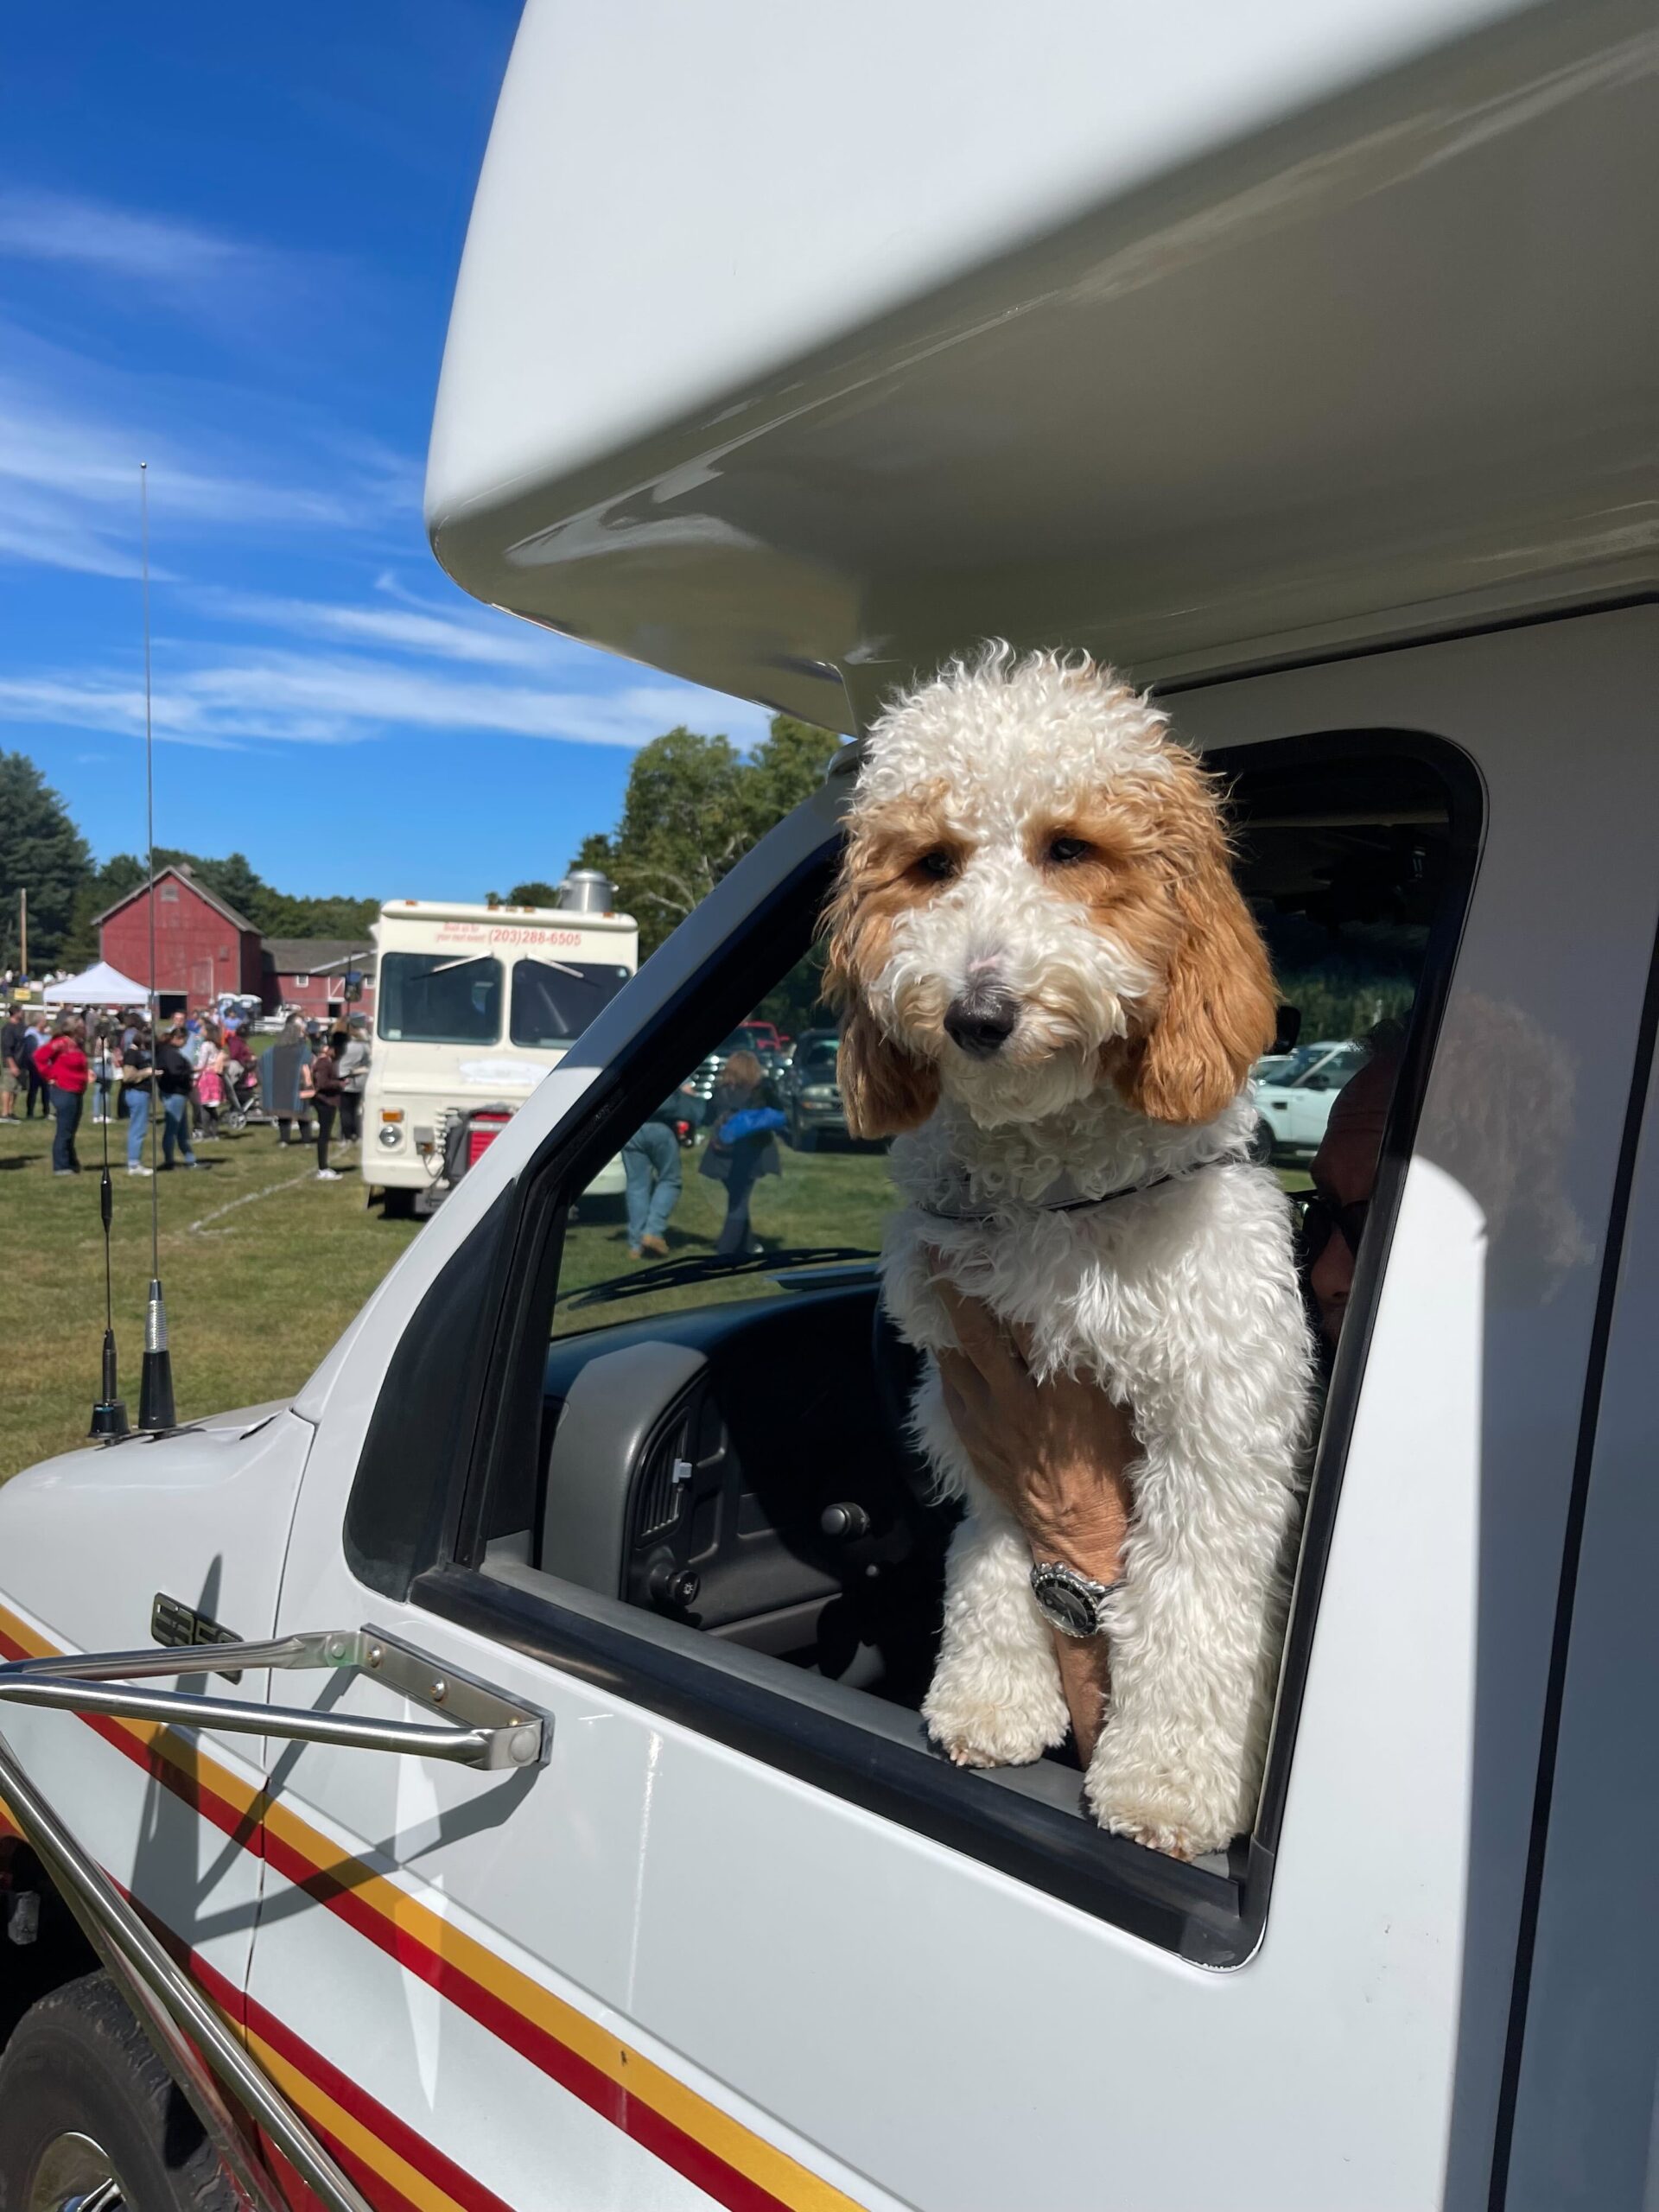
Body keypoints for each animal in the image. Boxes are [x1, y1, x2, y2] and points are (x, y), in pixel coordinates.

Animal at [827, 645, 1318, 1858]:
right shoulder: (966, 1399)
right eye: (934, 863)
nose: (978, 1010)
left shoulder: (1218, 1425)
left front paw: (1169, 1781)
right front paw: (992, 1693)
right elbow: (994, 1552)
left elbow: (1190, 1604)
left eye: (1069, 848)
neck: (1053, 1195)